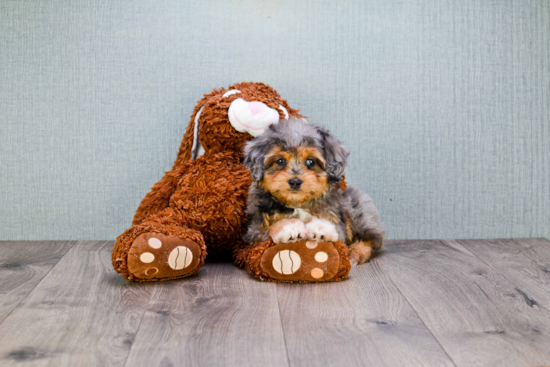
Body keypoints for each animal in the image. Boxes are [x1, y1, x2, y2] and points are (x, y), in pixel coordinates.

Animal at [244, 119, 386, 266]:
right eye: (280, 160)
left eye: (310, 161)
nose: (295, 181)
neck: (298, 203)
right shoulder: (255, 228)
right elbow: (269, 227)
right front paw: (289, 227)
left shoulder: (337, 222)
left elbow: (336, 231)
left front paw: (320, 228)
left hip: (358, 211)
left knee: (373, 240)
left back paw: (356, 253)